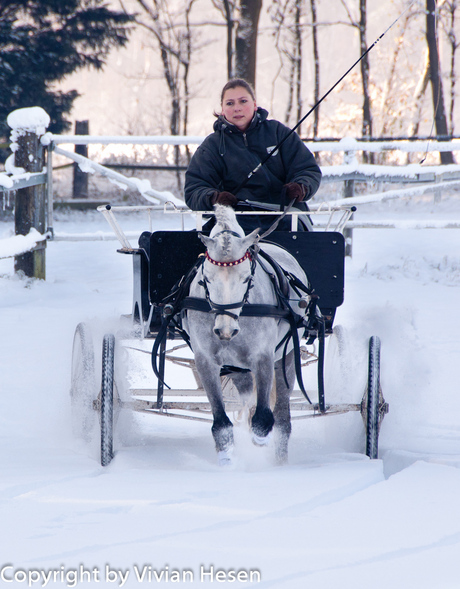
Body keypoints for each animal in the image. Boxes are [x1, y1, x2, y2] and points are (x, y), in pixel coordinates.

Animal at [182, 204, 310, 466]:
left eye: (246, 278)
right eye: (206, 278)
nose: (225, 330)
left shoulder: (263, 356)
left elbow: (263, 418)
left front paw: (259, 437)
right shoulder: (206, 360)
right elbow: (221, 422)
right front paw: (226, 457)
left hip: (287, 357)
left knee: (282, 415)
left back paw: (280, 459)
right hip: (236, 367)